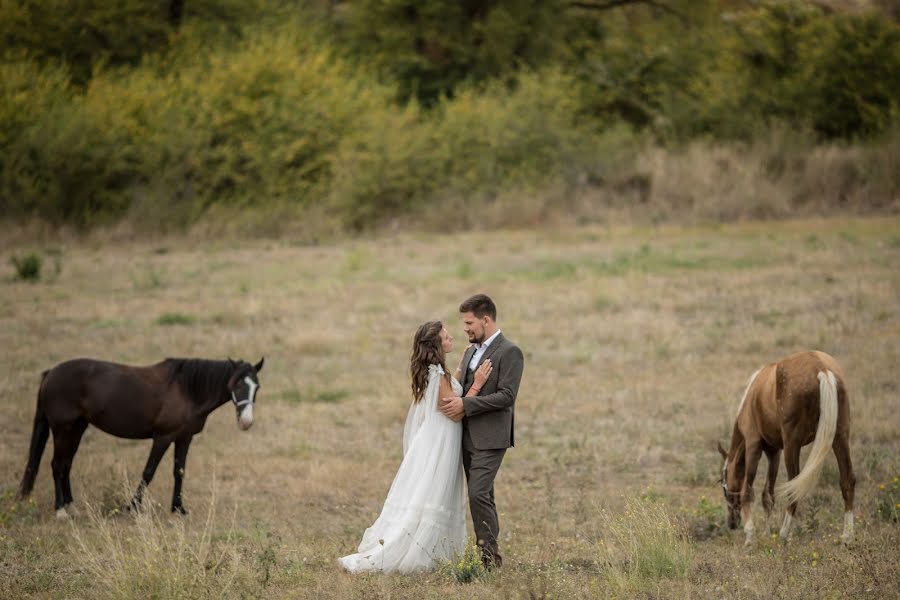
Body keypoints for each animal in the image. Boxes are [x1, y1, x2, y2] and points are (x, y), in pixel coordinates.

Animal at [18, 354, 264, 516]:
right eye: (236, 384)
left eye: (256, 387)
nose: (246, 422)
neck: (187, 390)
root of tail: (50, 373)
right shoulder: (163, 437)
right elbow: (149, 472)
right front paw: (133, 506)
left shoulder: (184, 438)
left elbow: (179, 471)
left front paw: (178, 508)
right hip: (63, 429)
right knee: (57, 465)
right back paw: (60, 509)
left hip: (77, 428)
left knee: (66, 464)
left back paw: (71, 506)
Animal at [716, 350, 856, 548]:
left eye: (723, 486)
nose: (731, 523)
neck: (753, 395)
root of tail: (822, 369)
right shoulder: (774, 452)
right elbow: (768, 495)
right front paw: (767, 534)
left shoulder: (753, 445)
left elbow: (747, 491)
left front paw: (750, 537)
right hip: (840, 437)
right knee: (847, 480)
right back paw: (847, 537)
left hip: (792, 446)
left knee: (794, 487)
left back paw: (783, 534)